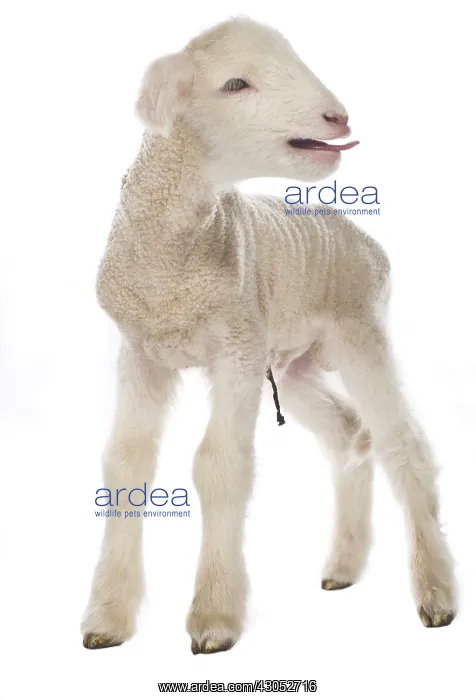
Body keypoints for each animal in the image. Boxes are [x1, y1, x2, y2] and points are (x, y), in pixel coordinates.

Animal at [81, 17, 457, 654]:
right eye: (236, 84)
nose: (338, 117)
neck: (171, 259)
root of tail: (358, 233)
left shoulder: (236, 346)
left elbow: (219, 463)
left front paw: (213, 619)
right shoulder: (141, 353)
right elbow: (126, 465)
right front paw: (106, 618)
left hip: (360, 331)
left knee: (402, 444)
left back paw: (435, 594)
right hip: (291, 363)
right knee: (349, 434)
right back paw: (343, 567)